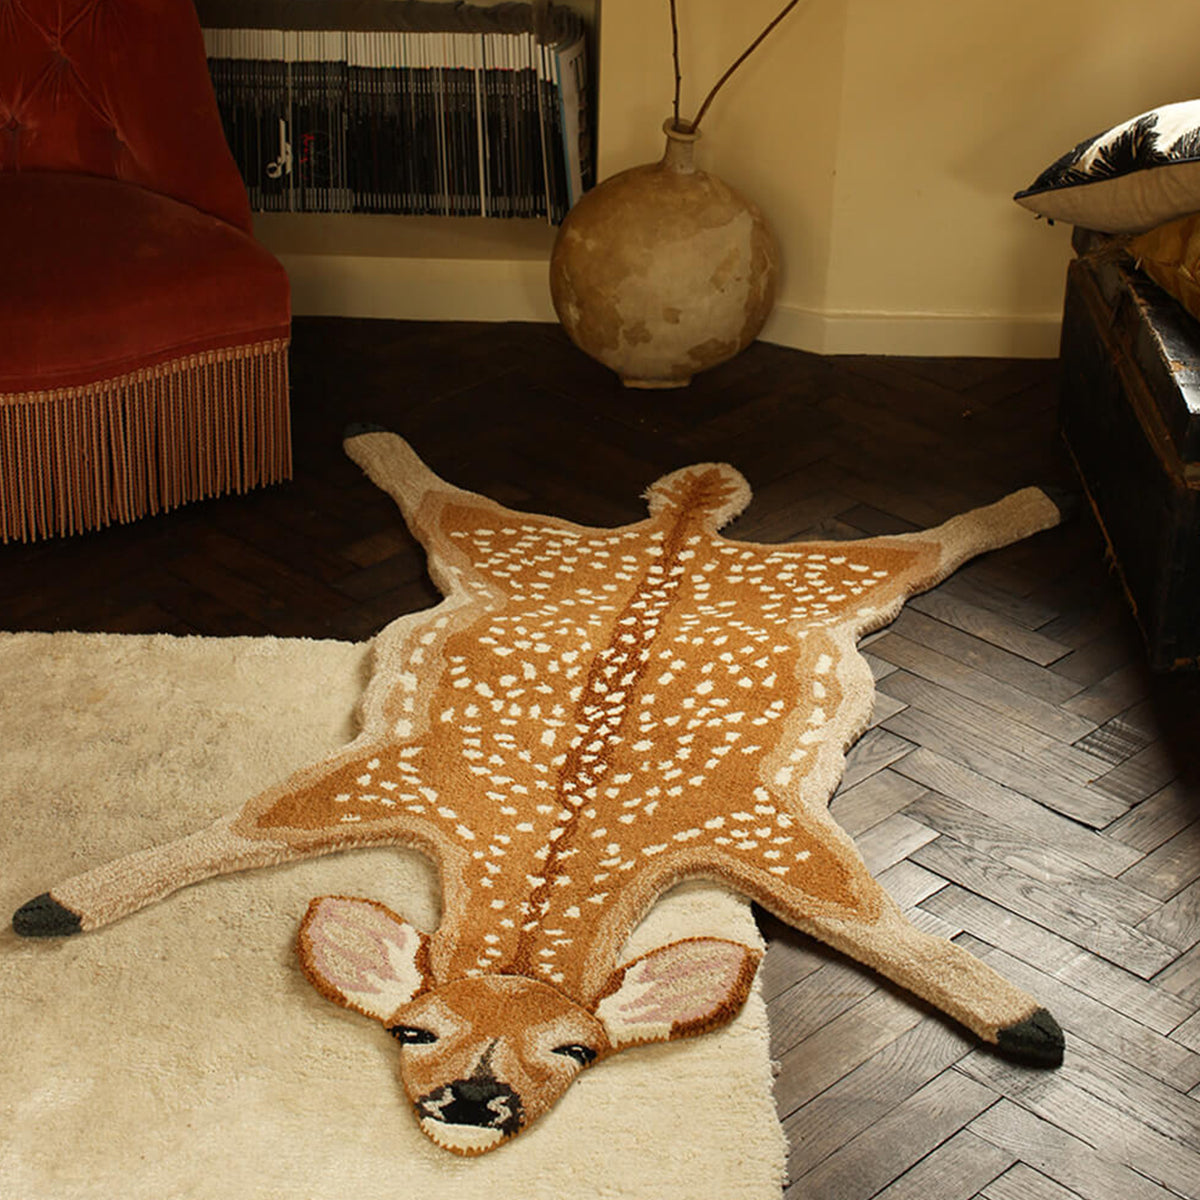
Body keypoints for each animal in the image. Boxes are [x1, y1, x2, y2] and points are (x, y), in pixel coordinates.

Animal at [13, 429, 1067, 1155]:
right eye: (412, 1031)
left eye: (578, 1053)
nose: (477, 1103)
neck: (550, 850)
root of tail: (680, 530)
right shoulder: (385, 774)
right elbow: (231, 831)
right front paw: (56, 902)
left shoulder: (763, 828)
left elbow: (880, 925)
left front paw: (1024, 1019)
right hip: (521, 547)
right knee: (442, 496)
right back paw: (373, 440)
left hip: (831, 579)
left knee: (927, 541)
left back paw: (1036, 503)